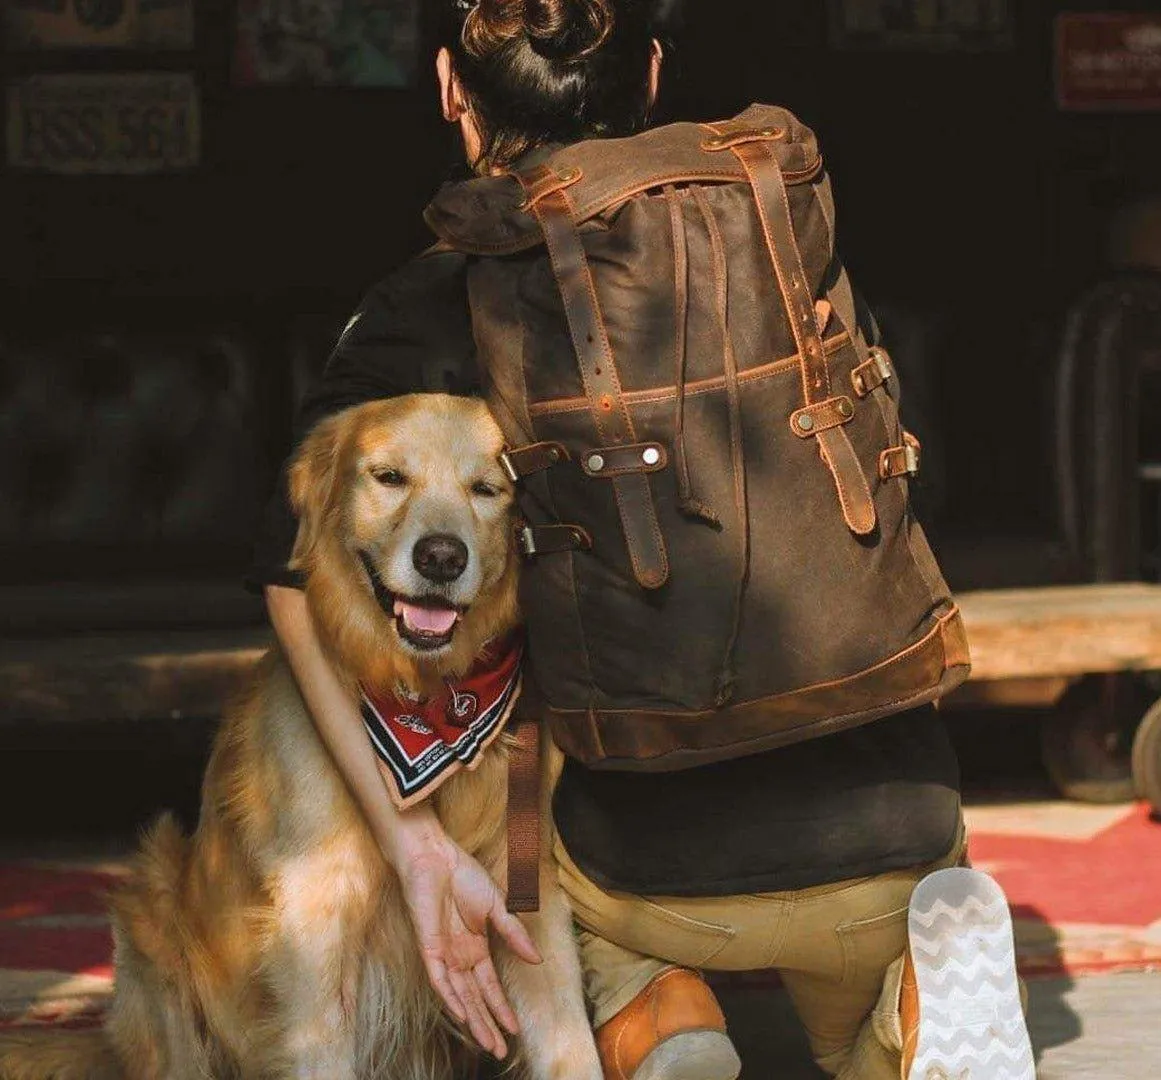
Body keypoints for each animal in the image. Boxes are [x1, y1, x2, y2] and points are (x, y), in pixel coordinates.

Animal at [0, 392, 599, 1077]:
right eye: (389, 477)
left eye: (486, 489)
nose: (442, 557)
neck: (429, 700)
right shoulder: (314, 917)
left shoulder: (525, 893)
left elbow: (571, 1042)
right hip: (150, 907)